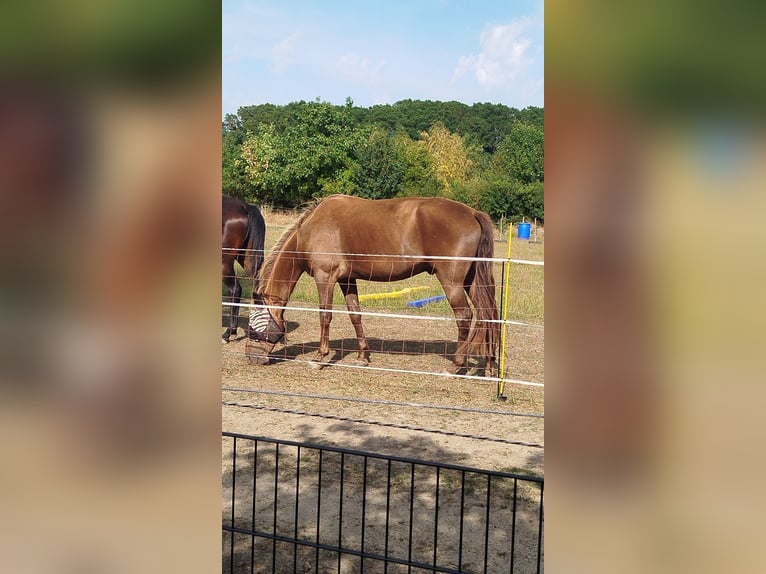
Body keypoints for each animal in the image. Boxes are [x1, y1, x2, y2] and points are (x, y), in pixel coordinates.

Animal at [245, 194, 500, 376]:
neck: (309, 230)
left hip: (452, 283)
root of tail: (472, 213)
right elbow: (355, 315)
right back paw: (490, 366)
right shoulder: (347, 280)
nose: (251, 357)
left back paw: (456, 365)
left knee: (465, 316)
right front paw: (362, 357)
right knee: (487, 315)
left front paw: (319, 358)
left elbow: (325, 316)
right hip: (472, 282)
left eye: (252, 326)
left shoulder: (325, 277)